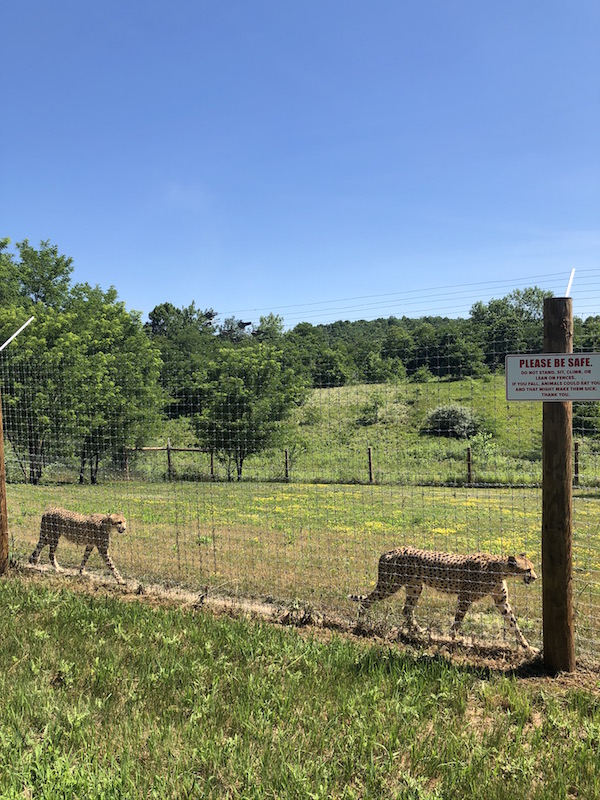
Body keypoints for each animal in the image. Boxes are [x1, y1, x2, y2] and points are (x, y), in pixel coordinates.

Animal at [350, 544, 536, 648]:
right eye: (528, 569)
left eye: (533, 567)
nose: (535, 577)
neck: (499, 569)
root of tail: (388, 551)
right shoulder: (464, 598)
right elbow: (457, 622)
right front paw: (452, 640)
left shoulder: (501, 602)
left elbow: (513, 624)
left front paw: (527, 647)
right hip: (390, 585)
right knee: (367, 601)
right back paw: (360, 624)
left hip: (414, 587)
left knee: (406, 610)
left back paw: (419, 631)